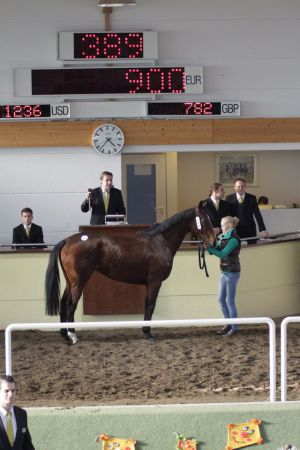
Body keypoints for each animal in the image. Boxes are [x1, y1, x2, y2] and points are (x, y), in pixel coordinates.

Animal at [44, 200, 214, 342]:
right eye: (205, 220)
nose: (213, 241)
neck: (160, 242)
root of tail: (67, 240)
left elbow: (147, 304)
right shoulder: (155, 281)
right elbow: (150, 305)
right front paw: (148, 333)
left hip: (70, 281)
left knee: (63, 302)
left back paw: (64, 335)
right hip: (79, 281)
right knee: (71, 304)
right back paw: (72, 336)